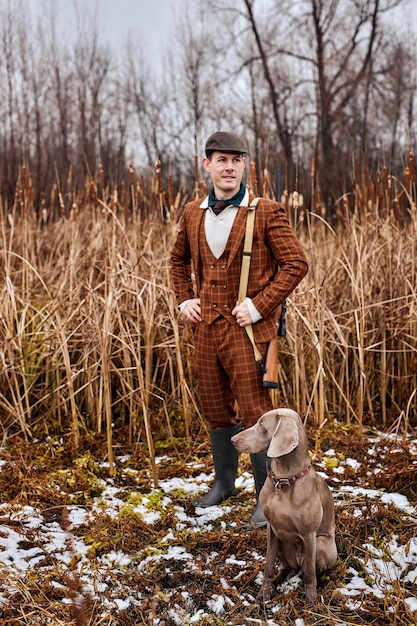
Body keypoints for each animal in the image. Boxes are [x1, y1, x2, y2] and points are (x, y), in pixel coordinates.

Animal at [229, 408, 336, 604]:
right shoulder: (271, 528)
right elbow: (268, 565)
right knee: (287, 567)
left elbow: (310, 573)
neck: (284, 480)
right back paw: (278, 580)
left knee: (308, 569)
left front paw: (311, 600)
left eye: (262, 425)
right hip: (280, 542)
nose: (233, 440)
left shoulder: (309, 534)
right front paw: (265, 592)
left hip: (321, 544)